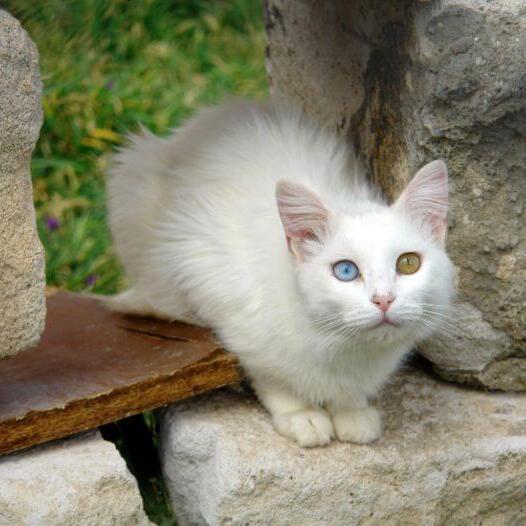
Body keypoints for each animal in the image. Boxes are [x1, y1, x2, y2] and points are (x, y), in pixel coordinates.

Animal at [106, 100, 454, 450]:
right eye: (346, 271)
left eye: (408, 263)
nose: (384, 300)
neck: (343, 345)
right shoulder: (219, 293)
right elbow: (273, 378)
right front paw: (303, 416)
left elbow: (349, 393)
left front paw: (351, 411)